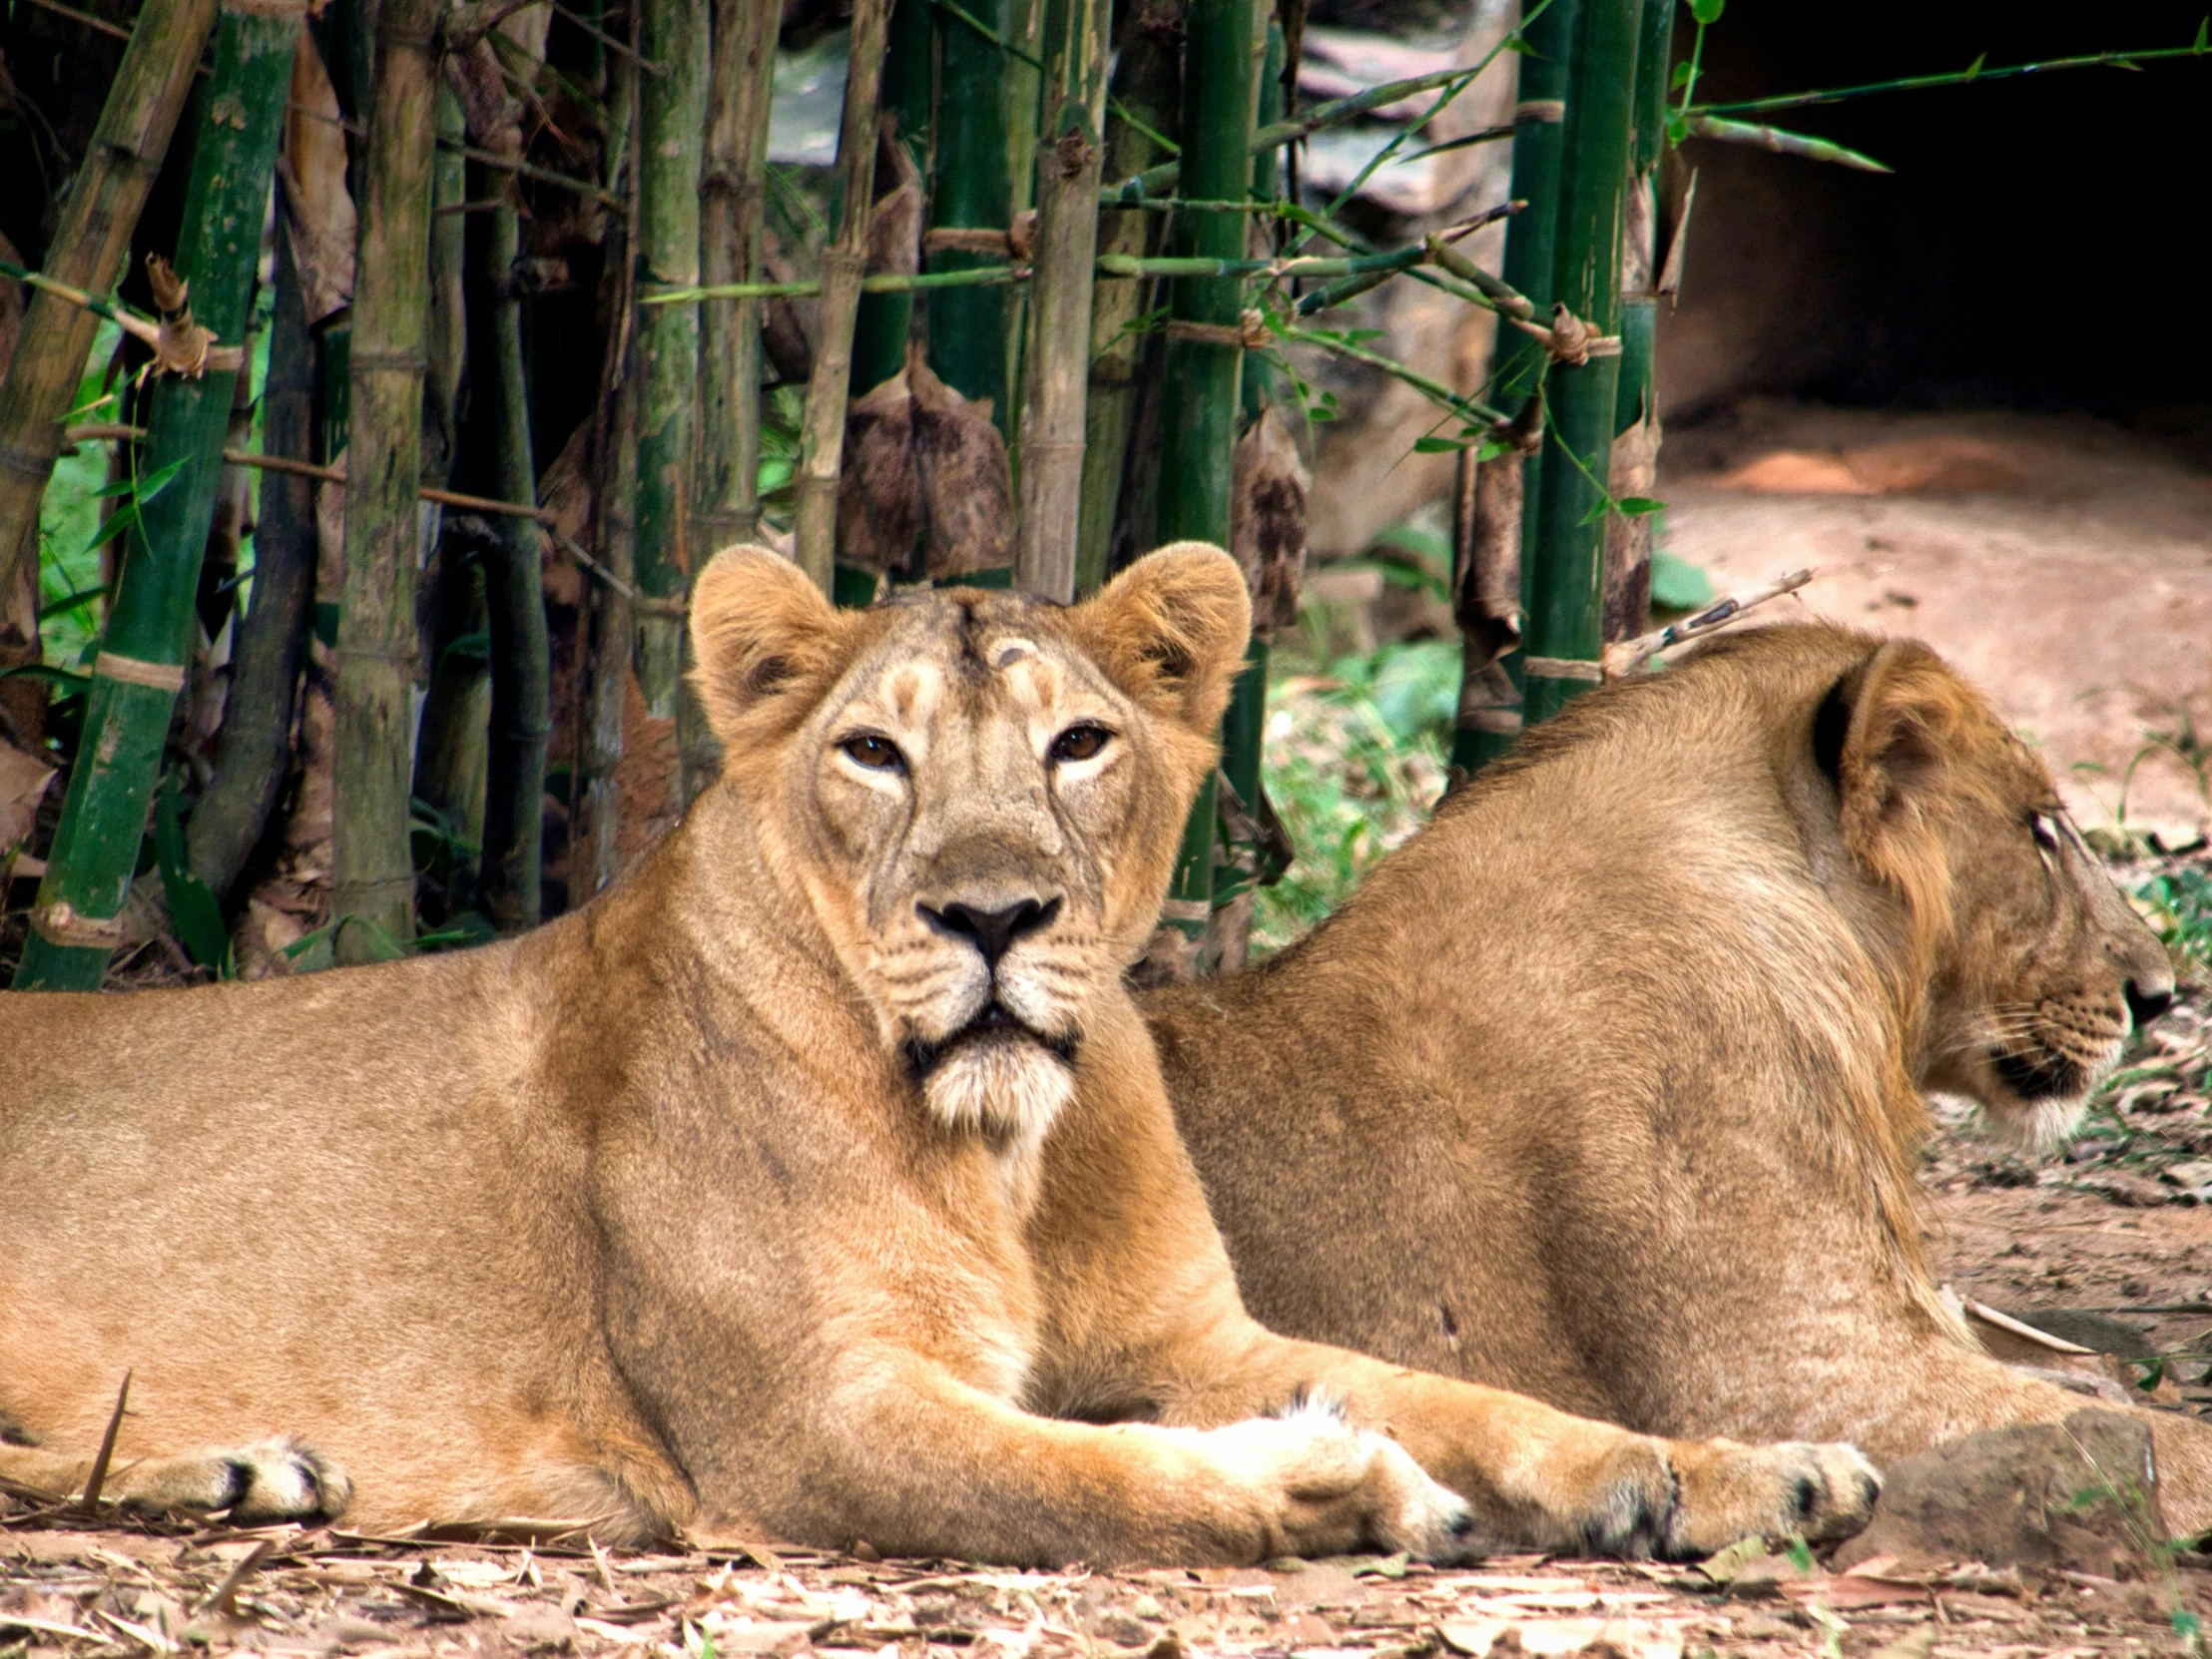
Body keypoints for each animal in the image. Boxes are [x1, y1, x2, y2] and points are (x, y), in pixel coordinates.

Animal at [0, 553, 1876, 1565]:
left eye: (1080, 741)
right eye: (875, 754)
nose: (991, 912)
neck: (1012, 1148)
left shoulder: (1198, 1339)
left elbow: (1484, 1397)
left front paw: (1730, 1469)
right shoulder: (810, 1417)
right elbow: (1093, 1474)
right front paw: (1333, 1479)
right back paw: (237, 1462)